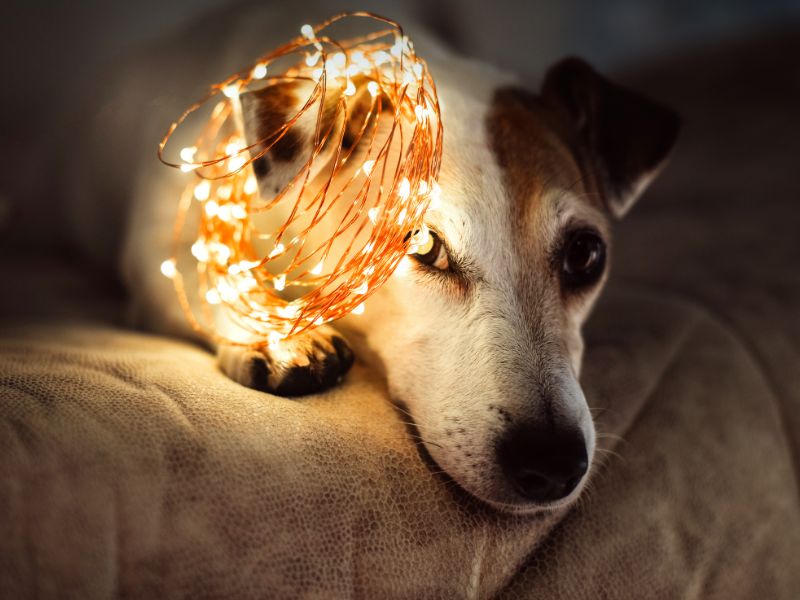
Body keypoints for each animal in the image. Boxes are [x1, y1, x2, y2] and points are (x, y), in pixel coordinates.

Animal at [115, 9, 680, 512]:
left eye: (585, 254)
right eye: (423, 245)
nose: (553, 463)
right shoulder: (157, 239)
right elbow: (203, 274)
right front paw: (276, 337)